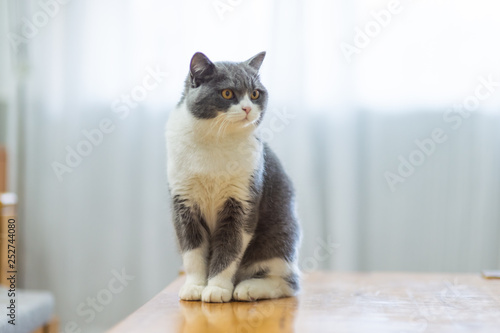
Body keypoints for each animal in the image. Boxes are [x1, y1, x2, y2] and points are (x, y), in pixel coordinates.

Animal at [166, 51, 300, 300]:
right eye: (227, 93)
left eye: (255, 93)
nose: (247, 108)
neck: (215, 141)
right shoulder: (183, 203)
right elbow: (192, 252)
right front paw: (195, 286)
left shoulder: (241, 200)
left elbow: (229, 248)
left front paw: (217, 288)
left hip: (280, 237)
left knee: (287, 283)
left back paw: (249, 288)